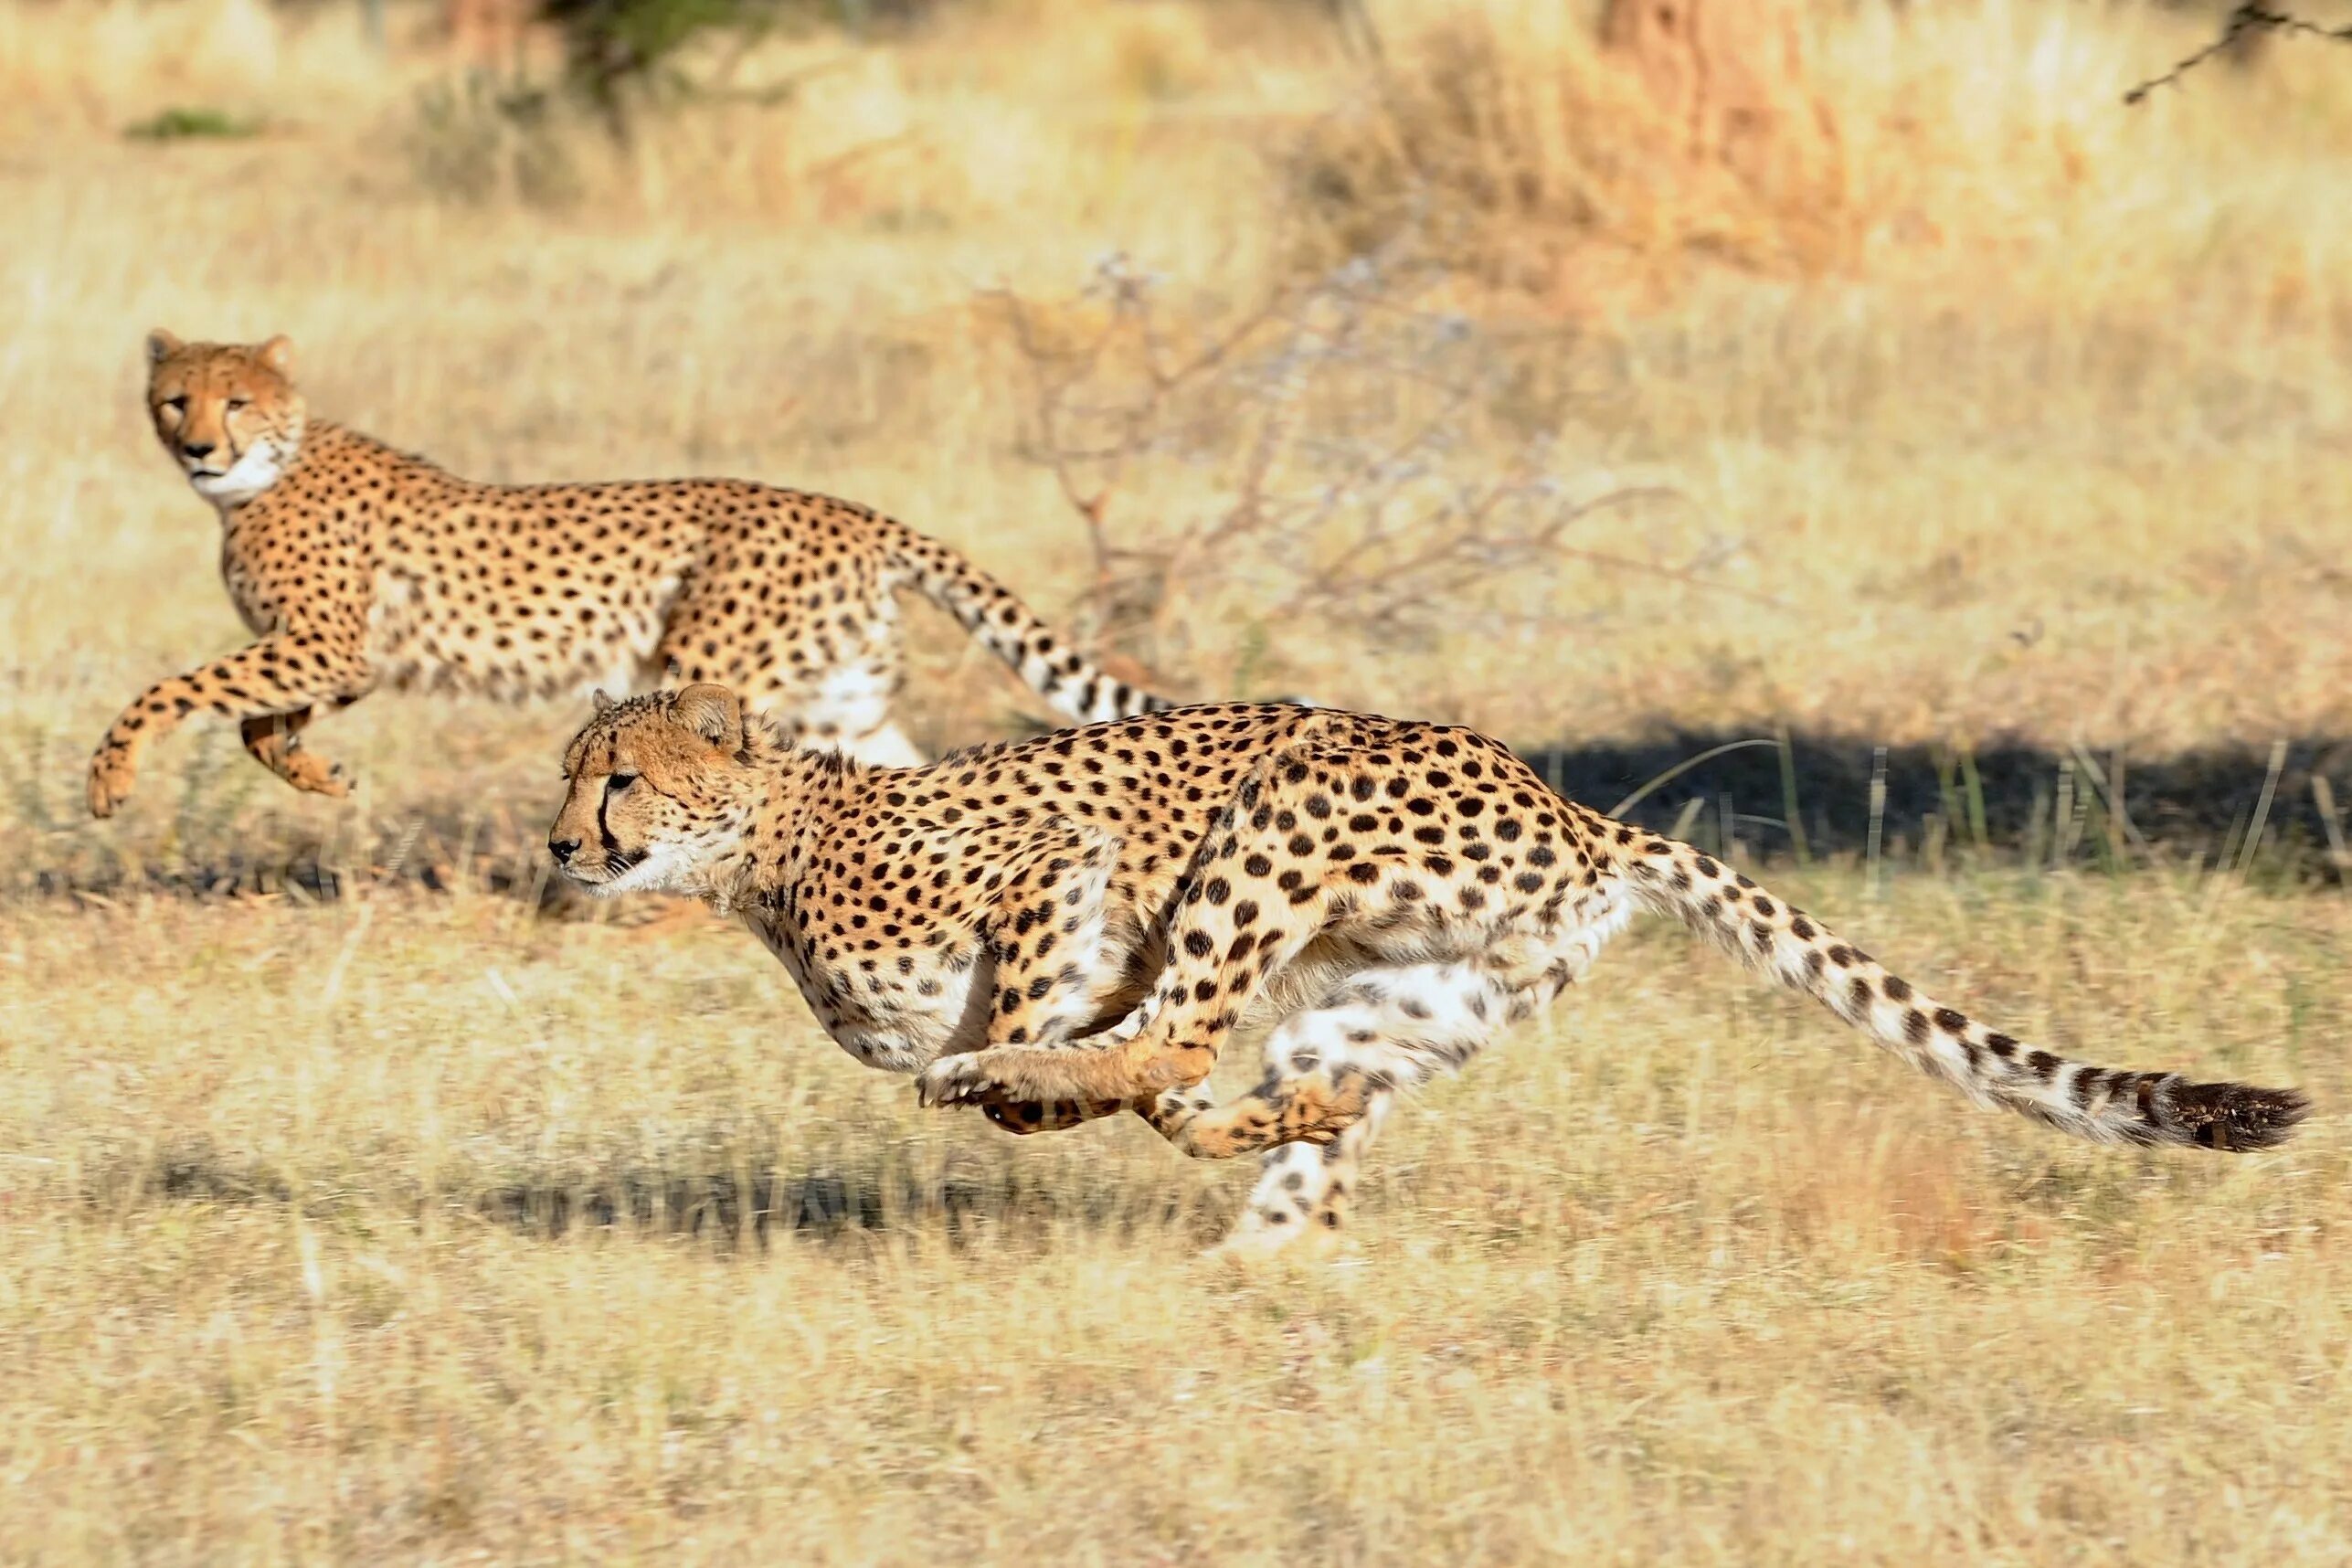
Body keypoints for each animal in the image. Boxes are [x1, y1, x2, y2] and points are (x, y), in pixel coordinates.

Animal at [87, 331, 1171, 822]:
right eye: (176, 398)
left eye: (236, 401)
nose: (199, 449)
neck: (269, 469)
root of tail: (850, 510)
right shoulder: (340, 657)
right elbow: (255, 723)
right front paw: (317, 775)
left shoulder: (325, 645)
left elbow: (176, 691)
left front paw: (111, 774)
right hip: (843, 698)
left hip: (709, 670)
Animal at [541, 691, 2304, 1259]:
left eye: (615, 779)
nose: (558, 845)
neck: (762, 848)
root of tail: (1583, 813)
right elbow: (1155, 1080)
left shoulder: (1054, 870)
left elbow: (1083, 1029)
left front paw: (1017, 1073)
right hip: (1408, 988)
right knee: (1271, 1087)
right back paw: (1270, 1208)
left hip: (1278, 811)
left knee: (1173, 1044)